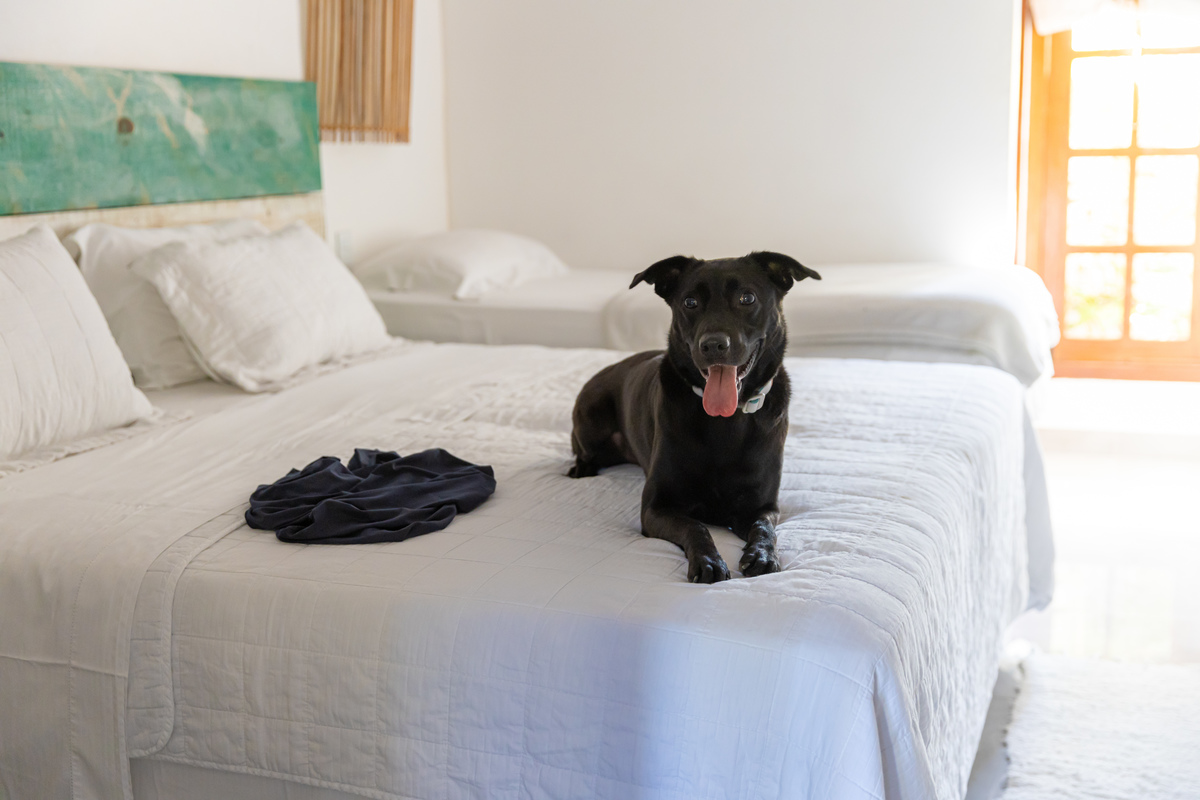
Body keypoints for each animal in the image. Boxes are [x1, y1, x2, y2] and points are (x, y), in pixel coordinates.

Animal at [568, 251, 820, 583]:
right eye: (690, 302)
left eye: (747, 298)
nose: (713, 345)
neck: (726, 420)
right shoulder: (657, 508)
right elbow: (695, 525)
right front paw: (708, 561)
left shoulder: (763, 506)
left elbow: (764, 528)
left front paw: (763, 555)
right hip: (591, 416)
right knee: (583, 450)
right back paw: (580, 468)